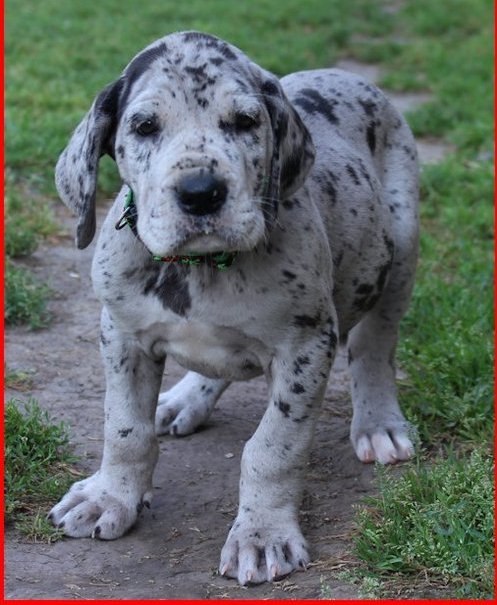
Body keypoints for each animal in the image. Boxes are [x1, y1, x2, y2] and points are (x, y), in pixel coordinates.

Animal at [49, 31, 418, 584]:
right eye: (144, 126)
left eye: (245, 122)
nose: (201, 192)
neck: (201, 267)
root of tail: (344, 74)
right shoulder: (120, 333)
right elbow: (125, 427)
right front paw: (109, 497)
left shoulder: (307, 346)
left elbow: (273, 447)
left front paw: (262, 535)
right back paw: (184, 398)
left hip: (400, 248)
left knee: (375, 345)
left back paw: (378, 425)